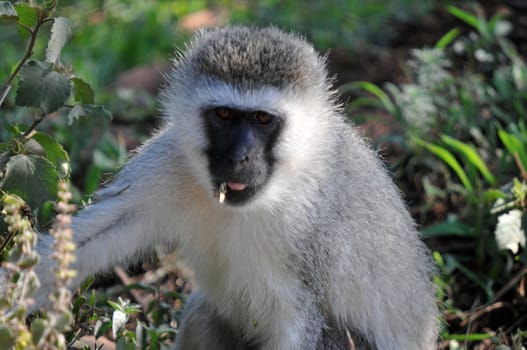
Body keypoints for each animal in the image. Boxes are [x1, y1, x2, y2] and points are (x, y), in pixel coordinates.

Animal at [7, 26, 442, 348]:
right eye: (224, 115)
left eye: (263, 120)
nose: (238, 158)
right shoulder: (167, 163)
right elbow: (89, 239)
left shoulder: (312, 228)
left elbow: (301, 321)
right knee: (201, 316)